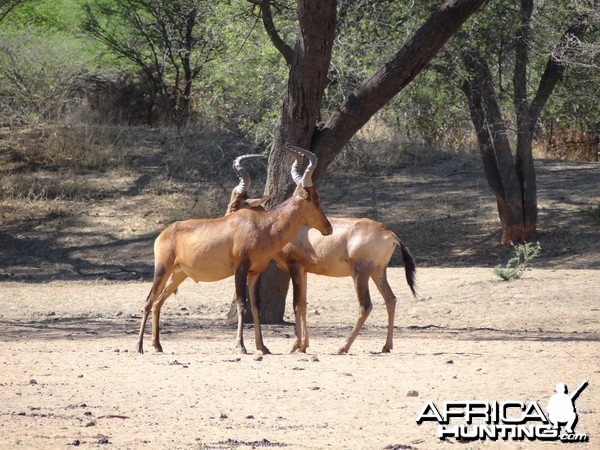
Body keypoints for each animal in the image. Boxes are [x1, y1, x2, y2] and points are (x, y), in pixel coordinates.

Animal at [137, 147, 332, 356]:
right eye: (316, 200)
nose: (328, 228)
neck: (261, 224)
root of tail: (164, 232)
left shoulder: (255, 272)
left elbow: (256, 307)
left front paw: (262, 347)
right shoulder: (240, 268)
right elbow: (241, 304)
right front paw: (241, 346)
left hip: (179, 274)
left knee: (158, 302)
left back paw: (157, 345)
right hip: (162, 268)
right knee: (148, 301)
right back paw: (139, 347)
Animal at [226, 159, 418, 356]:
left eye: (234, 206)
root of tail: (389, 233)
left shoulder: (295, 266)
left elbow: (296, 303)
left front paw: (296, 345)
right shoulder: (304, 270)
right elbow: (303, 304)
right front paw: (304, 345)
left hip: (361, 273)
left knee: (366, 306)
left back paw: (343, 347)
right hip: (378, 272)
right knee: (390, 299)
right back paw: (386, 346)